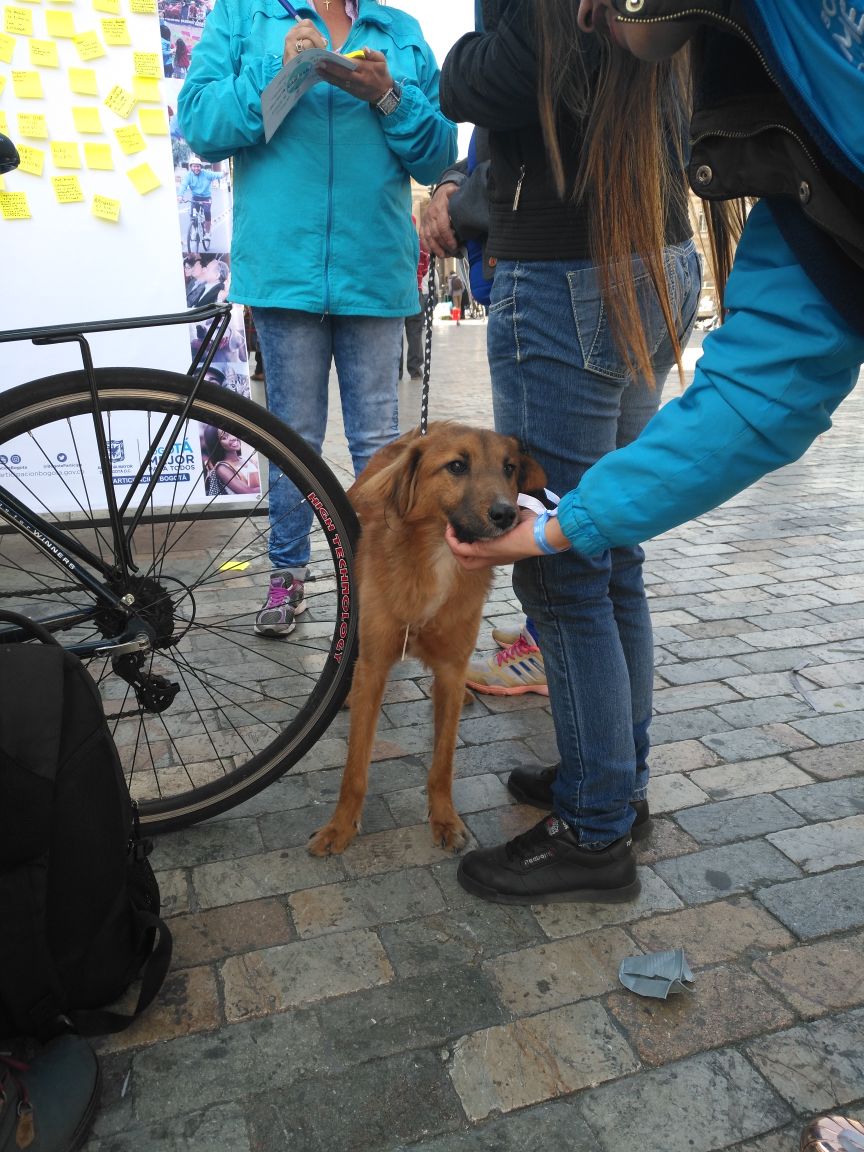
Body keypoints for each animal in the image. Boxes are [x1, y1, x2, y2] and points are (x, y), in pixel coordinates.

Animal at [308, 421, 543, 857]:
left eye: (509, 468)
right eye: (457, 466)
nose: (506, 514)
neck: (437, 559)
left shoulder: (450, 668)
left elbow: (443, 762)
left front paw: (445, 819)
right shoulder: (375, 663)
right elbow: (355, 766)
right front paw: (340, 826)